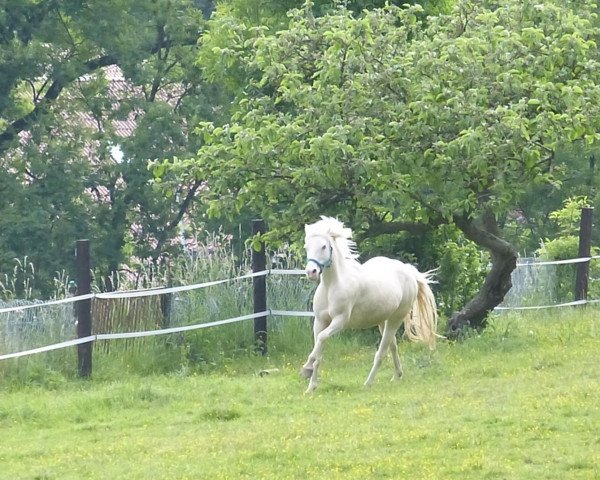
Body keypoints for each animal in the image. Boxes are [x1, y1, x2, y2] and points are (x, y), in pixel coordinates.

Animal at [302, 218, 438, 394]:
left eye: (324, 246)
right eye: (306, 247)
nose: (311, 272)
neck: (332, 285)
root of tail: (409, 272)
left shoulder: (339, 321)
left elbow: (321, 338)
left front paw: (306, 368)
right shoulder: (320, 321)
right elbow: (319, 349)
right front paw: (311, 387)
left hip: (395, 319)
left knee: (382, 352)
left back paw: (368, 383)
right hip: (383, 320)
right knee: (392, 346)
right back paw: (397, 375)